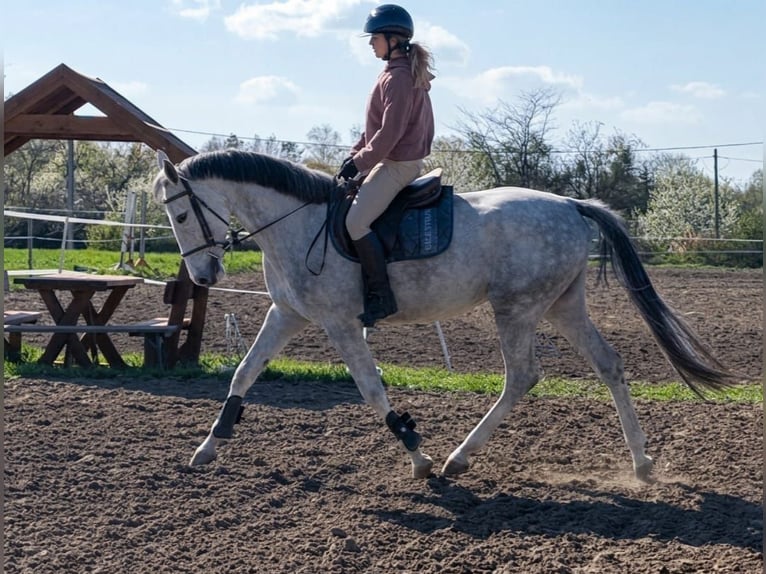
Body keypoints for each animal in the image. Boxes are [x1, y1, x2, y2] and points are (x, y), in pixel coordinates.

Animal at [152, 148, 735, 481]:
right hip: (561, 306)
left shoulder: (341, 324)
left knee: (522, 376)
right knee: (609, 364)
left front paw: (418, 455)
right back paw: (641, 464)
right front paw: (208, 446)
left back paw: (458, 457)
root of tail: (571, 204)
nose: (203, 275)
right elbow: (244, 373)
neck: (298, 223)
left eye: (179, 212)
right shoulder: (287, 315)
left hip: (517, 308)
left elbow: (371, 389)